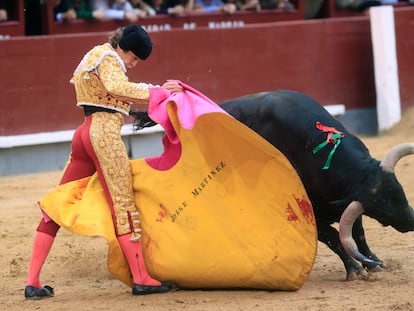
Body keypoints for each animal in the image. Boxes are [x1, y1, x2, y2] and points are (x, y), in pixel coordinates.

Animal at [131, 89, 414, 280]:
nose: (411, 221)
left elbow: (357, 232)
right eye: (382, 211)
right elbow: (334, 236)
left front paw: (374, 263)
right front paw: (355, 269)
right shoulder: (312, 214)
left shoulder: (351, 203)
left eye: (400, 193)